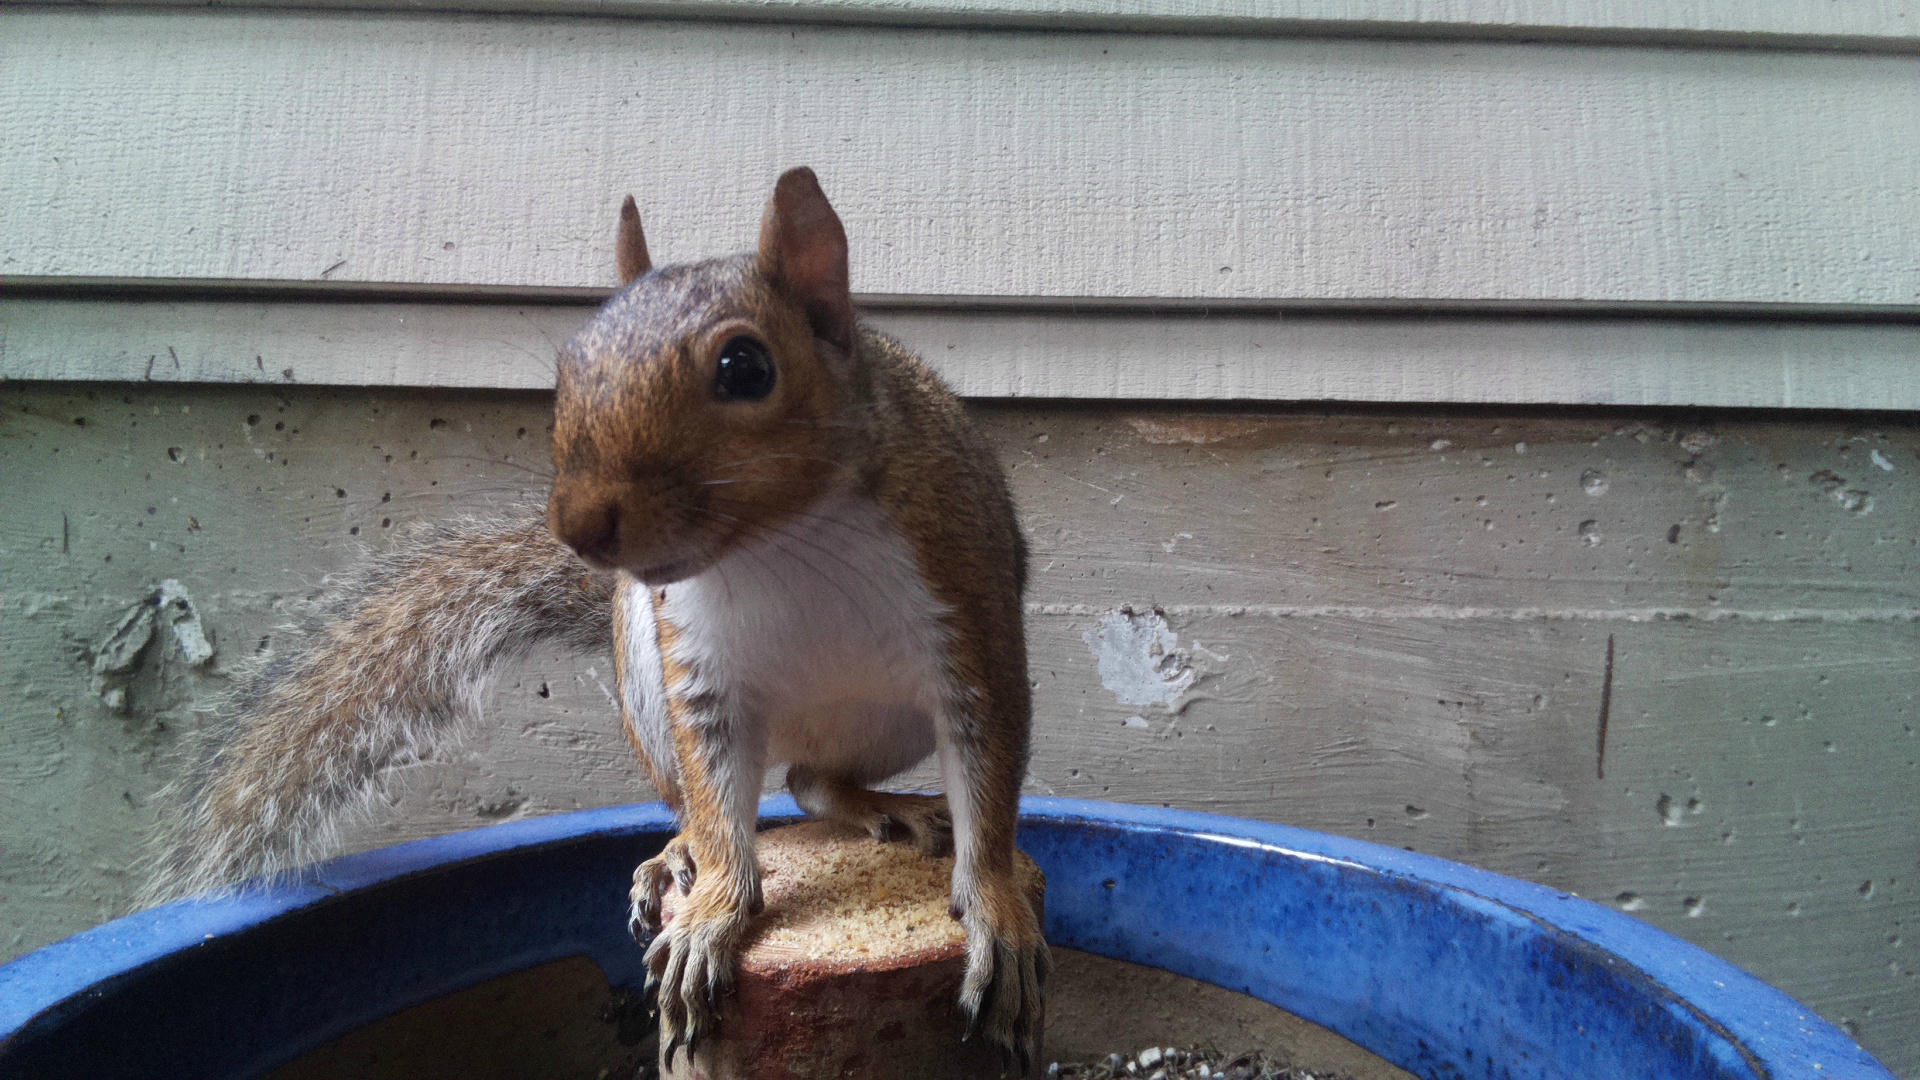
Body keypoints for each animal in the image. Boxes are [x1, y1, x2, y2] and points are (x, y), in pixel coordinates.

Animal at [139, 167, 1048, 1071]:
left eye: (746, 366)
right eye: (571, 361)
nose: (576, 525)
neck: (782, 547)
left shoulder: (970, 632)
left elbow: (990, 792)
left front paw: (998, 912)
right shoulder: (700, 679)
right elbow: (719, 805)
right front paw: (713, 910)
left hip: (888, 724)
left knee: (814, 780)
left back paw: (895, 808)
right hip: (646, 684)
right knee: (745, 791)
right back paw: (676, 858)